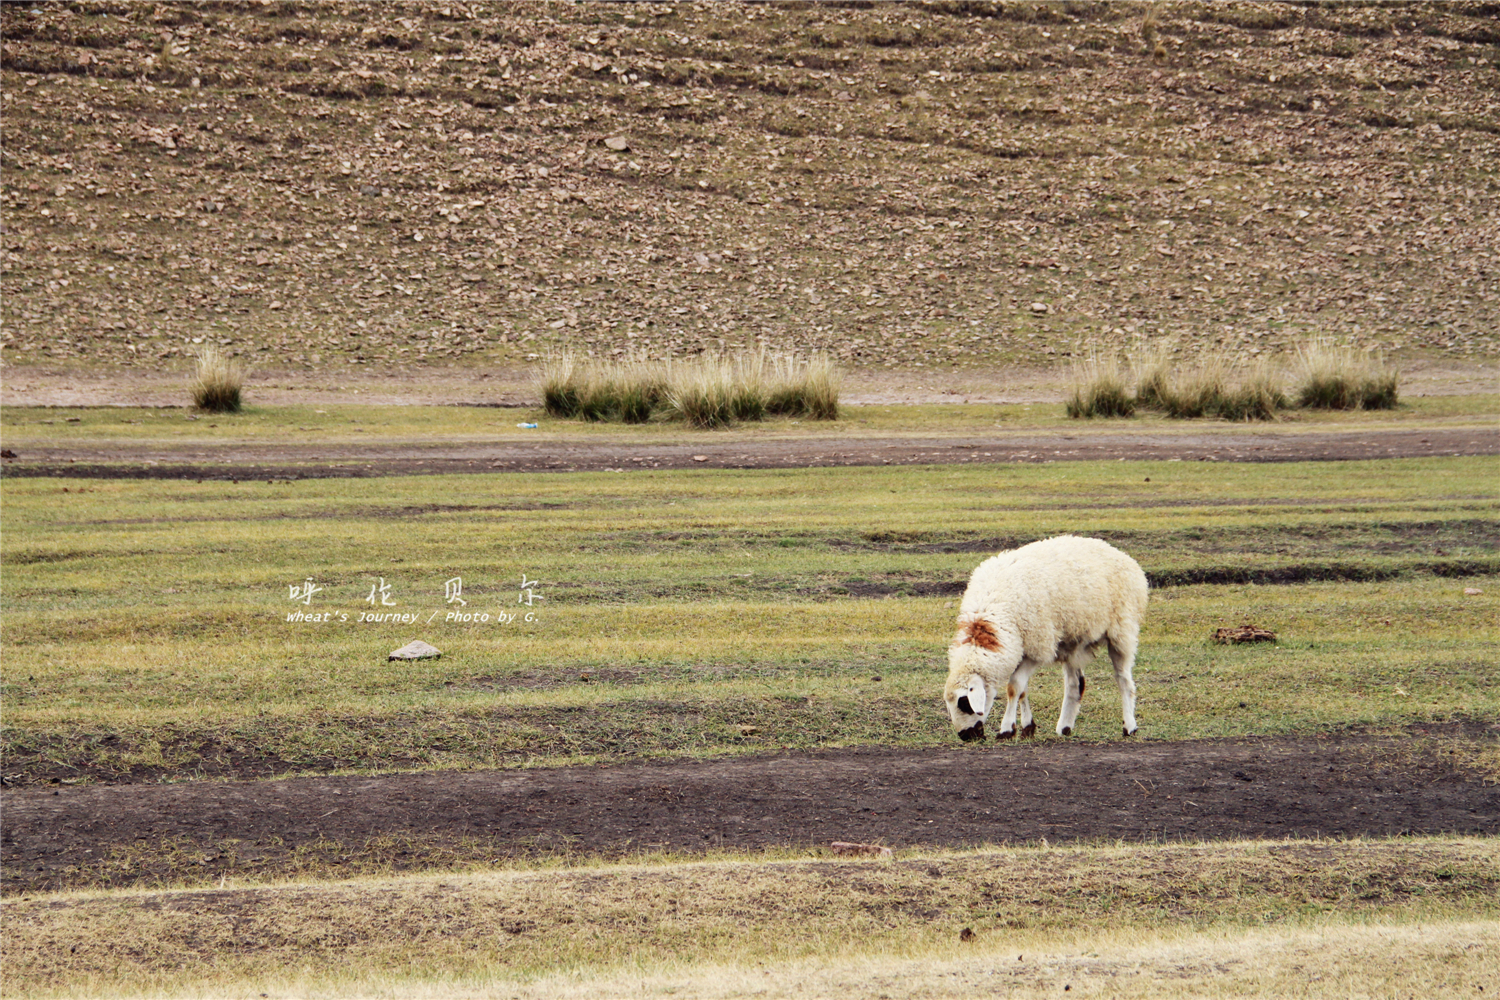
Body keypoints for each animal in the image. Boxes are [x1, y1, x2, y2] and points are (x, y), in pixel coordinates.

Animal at [948, 539, 1146, 743]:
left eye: (964, 703)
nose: (965, 735)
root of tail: (1123, 556)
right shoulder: (1024, 646)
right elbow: (1023, 689)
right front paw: (1027, 727)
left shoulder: (1037, 646)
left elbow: (1014, 687)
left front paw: (1007, 730)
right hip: (1072, 639)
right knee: (1075, 684)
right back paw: (1065, 727)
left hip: (1122, 629)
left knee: (1123, 680)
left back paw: (1129, 726)